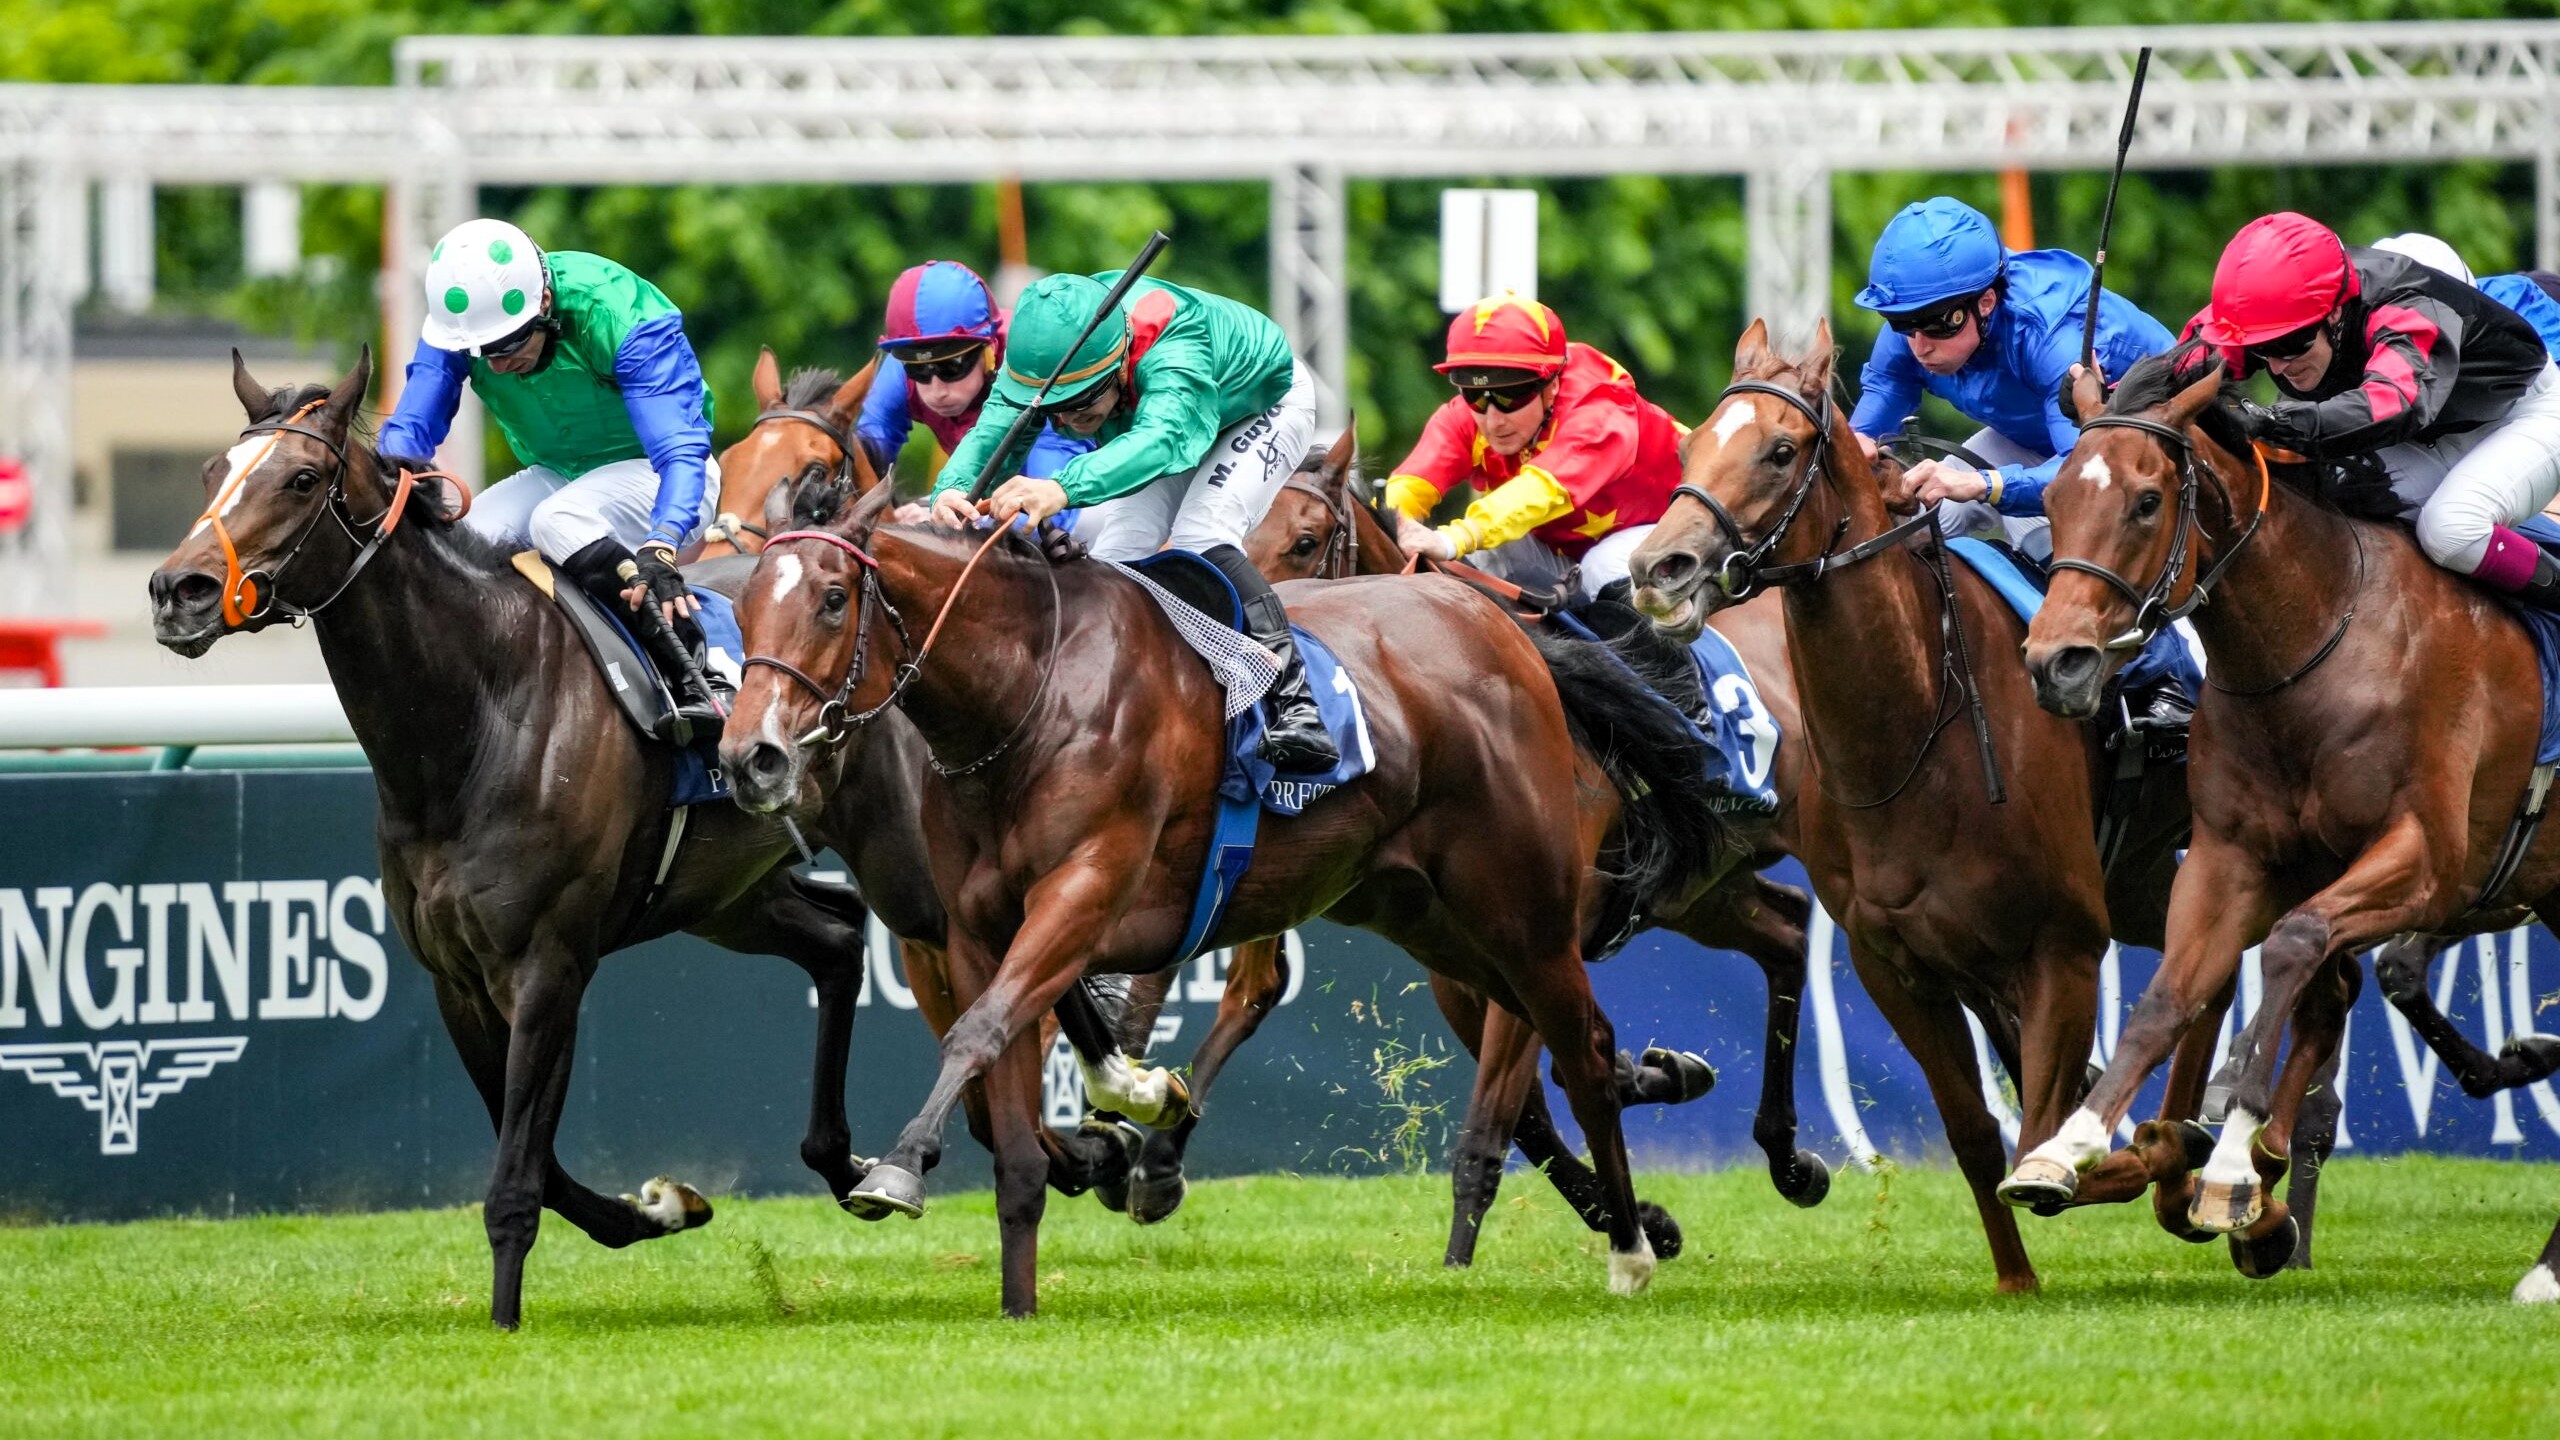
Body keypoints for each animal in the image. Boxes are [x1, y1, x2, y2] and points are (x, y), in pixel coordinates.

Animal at [145, 348, 1126, 1322]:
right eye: (213, 470)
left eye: (301, 479)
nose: (176, 591)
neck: (475, 714)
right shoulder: (455, 980)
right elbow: (538, 1165)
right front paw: (658, 1207)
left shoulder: (547, 966)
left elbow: (519, 1173)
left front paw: (506, 1315)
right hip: (724, 896)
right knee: (839, 940)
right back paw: (870, 1156)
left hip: (911, 871)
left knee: (1023, 954)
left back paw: (1119, 1115)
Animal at [732, 481, 1751, 1311]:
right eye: (739, 604)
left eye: (832, 598)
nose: (752, 757)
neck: (1027, 694)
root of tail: (1502, 628)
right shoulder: (977, 930)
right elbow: (1011, 1123)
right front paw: (1024, 1293)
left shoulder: (1088, 890)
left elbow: (983, 1032)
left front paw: (901, 1167)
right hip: (1432, 919)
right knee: (1578, 1042)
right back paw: (1654, 1133)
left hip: (1523, 906)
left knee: (1579, 1047)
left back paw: (1630, 1248)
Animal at [1244, 443, 1832, 1260]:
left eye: (1305, 540)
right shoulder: (1461, 973)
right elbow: (1533, 1119)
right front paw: (1645, 1205)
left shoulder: (1531, 944)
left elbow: (1495, 1127)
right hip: (1699, 891)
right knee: (1785, 929)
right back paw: (1783, 1155)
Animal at [1628, 322, 2191, 1291]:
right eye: (1693, 443)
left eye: (1781, 451)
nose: (1660, 568)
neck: (1923, 736)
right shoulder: (1898, 966)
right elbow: (1979, 1135)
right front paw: (2016, 1278)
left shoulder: (2063, 946)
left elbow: (2049, 1143)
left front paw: (2152, 1155)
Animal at [1996, 351, 2560, 1301]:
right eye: (2058, 496)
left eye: (2146, 500)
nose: (2054, 664)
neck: (2314, 642)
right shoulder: (2230, 858)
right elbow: (2171, 996)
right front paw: (2064, 1149)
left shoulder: (2425, 860)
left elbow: (2293, 950)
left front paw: (2230, 1166)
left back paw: (2545, 1268)